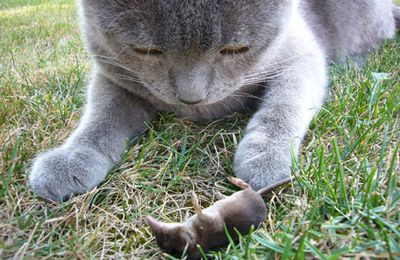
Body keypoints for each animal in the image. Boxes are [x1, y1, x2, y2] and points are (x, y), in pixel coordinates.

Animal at [28, 0, 400, 202]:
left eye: (236, 49)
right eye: (146, 50)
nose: (191, 97)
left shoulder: (300, 54)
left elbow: (286, 104)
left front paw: (265, 158)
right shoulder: (113, 74)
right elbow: (100, 117)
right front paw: (71, 159)